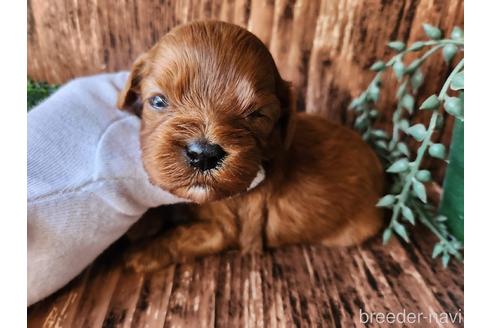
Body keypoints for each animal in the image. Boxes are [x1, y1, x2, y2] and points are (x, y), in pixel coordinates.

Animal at [118, 20, 384, 272]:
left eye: (257, 114)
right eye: (158, 101)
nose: (203, 155)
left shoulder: (224, 230)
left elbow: (181, 236)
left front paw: (142, 253)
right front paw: (143, 224)